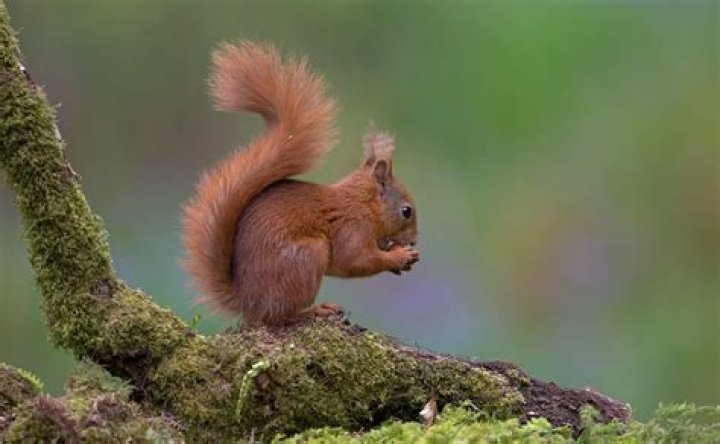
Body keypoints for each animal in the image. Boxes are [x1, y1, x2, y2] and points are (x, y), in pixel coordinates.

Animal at [182, 41, 419, 326]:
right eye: (406, 211)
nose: (414, 241)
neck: (364, 204)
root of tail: (249, 302)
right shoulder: (353, 228)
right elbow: (355, 260)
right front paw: (398, 256)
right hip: (307, 257)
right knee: (282, 315)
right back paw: (317, 310)